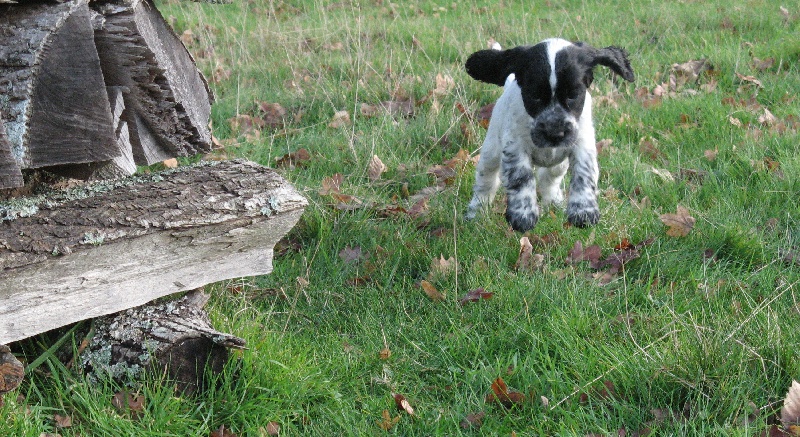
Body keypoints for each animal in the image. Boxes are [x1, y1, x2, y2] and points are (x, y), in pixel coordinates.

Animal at [464, 38, 634, 232]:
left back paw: (554, 201)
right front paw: (523, 214)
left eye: (573, 95)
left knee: (549, 178)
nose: (555, 133)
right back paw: (476, 211)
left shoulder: (582, 141)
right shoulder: (515, 146)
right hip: (491, 151)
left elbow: (584, 173)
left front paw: (583, 210)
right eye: (535, 96)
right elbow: (521, 176)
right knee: (486, 180)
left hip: (559, 163)